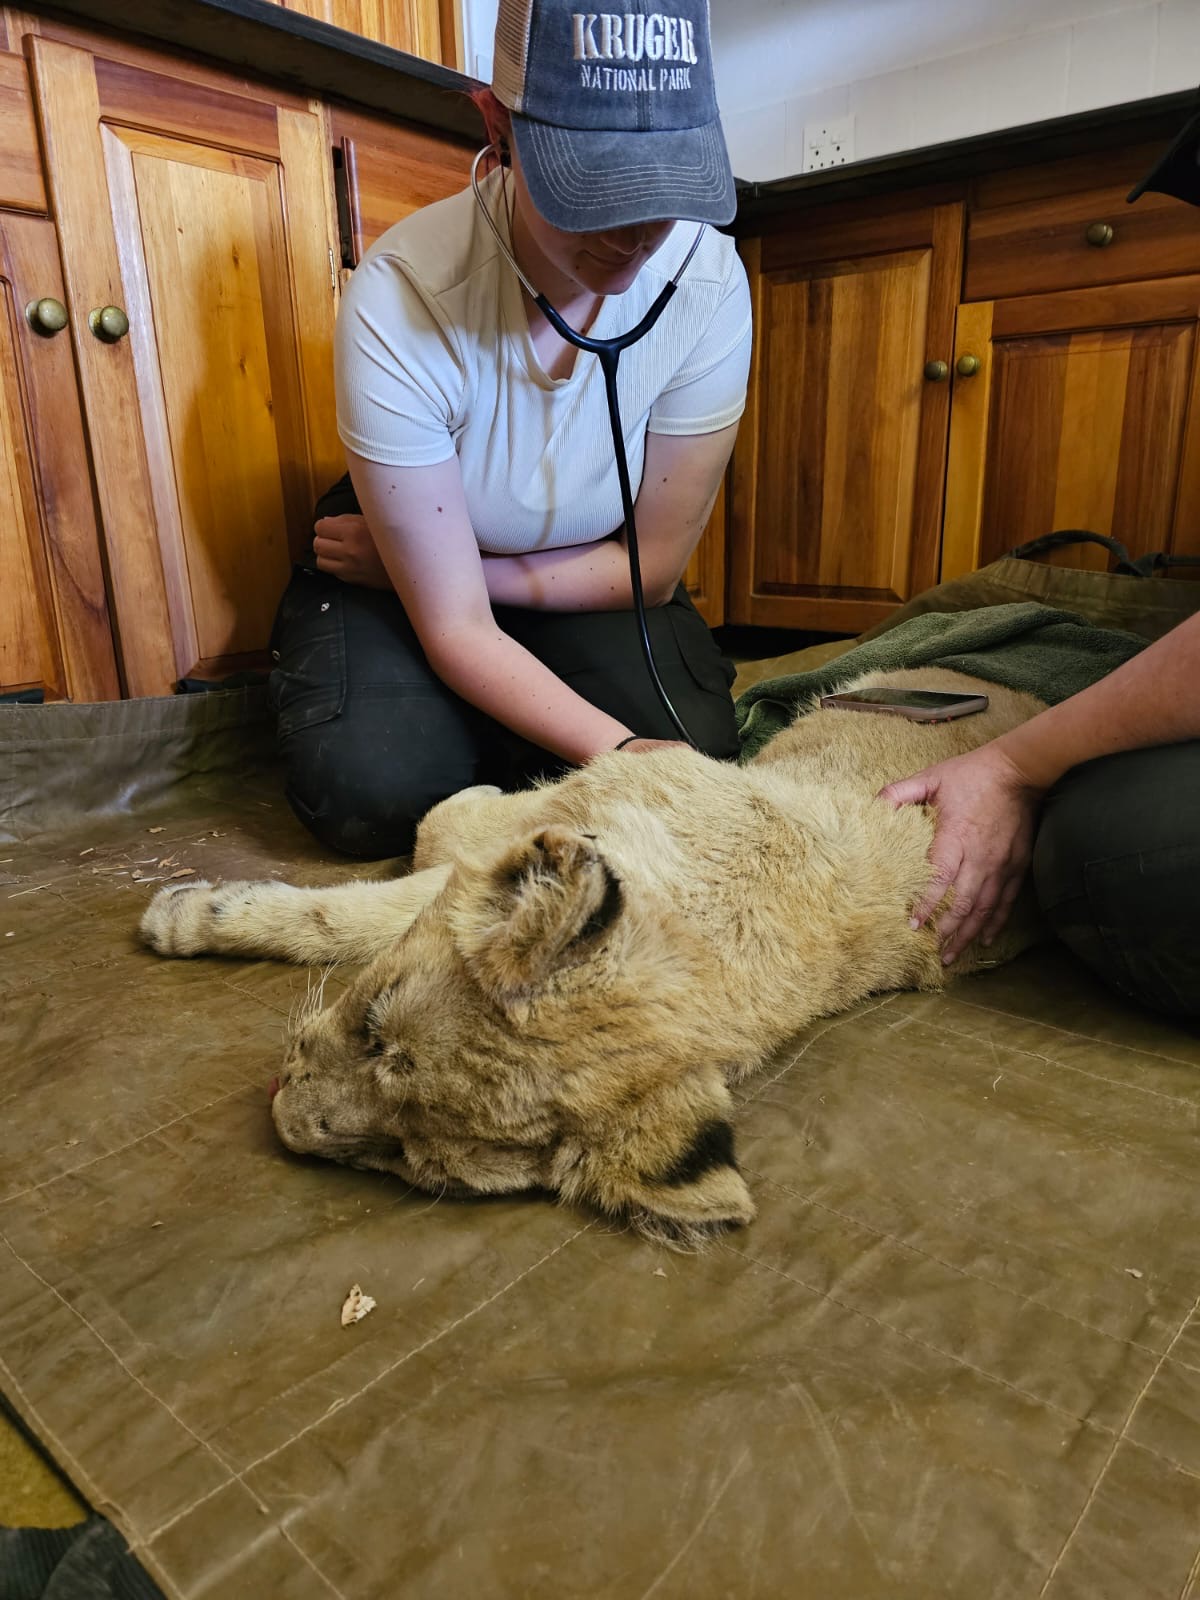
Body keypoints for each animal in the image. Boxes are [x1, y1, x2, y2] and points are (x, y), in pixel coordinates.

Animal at [141, 667, 1045, 1247]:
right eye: (372, 1029)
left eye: (411, 1161)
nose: (282, 1119)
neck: (719, 917)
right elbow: (415, 849)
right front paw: (192, 912)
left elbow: (392, 875)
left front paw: (189, 913)